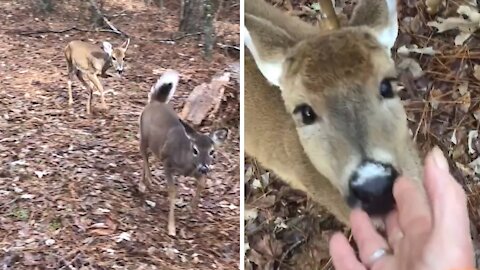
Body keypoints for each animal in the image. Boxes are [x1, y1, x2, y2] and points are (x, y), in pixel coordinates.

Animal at [139, 70, 229, 236]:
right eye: (195, 149)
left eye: (212, 151)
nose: (204, 167)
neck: (186, 164)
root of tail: (155, 101)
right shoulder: (168, 163)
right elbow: (173, 191)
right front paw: (171, 228)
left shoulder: (196, 172)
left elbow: (202, 184)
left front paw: (191, 209)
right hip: (144, 135)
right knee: (143, 153)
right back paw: (148, 181)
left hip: (157, 147)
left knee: (148, 156)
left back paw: (143, 184)